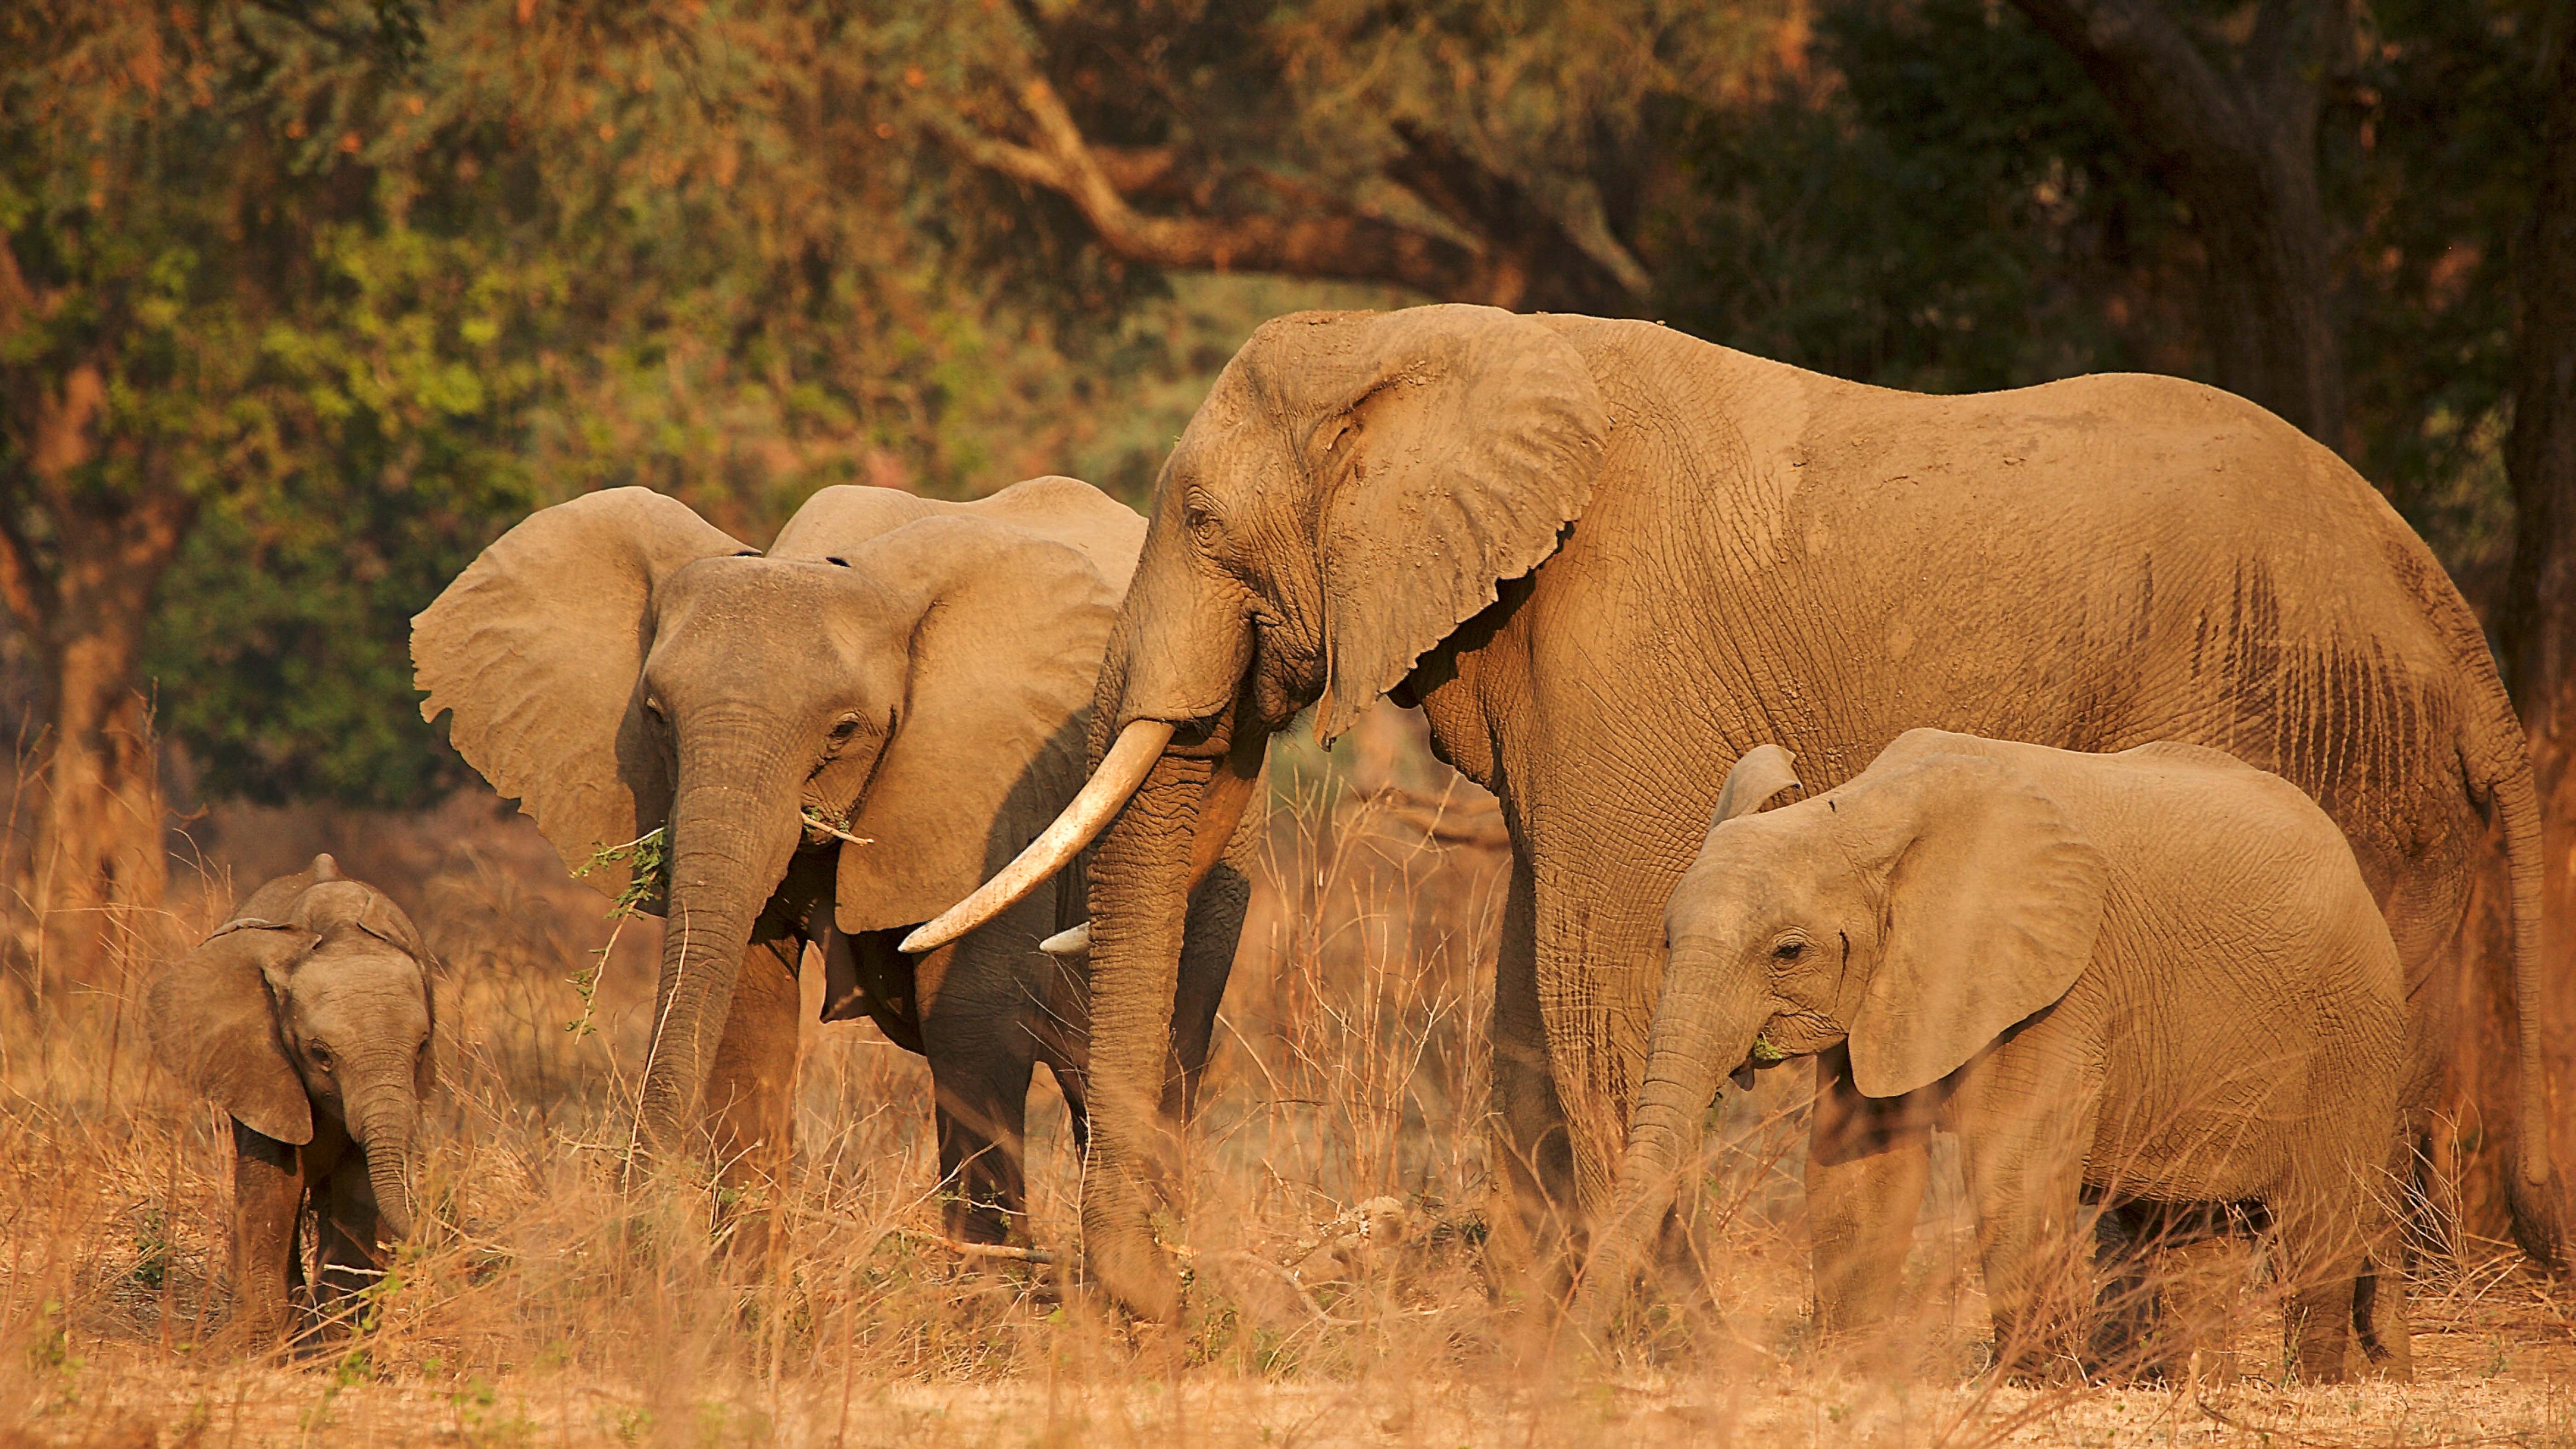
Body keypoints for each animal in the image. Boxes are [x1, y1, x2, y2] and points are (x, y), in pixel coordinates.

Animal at [147, 854, 434, 1345]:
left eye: (421, 1048)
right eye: (321, 1055)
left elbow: (357, 1190)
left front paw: (333, 1347)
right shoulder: (258, 1064)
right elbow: (273, 1187)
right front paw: (261, 1346)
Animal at [412, 476, 1258, 1249]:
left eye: (845, 730)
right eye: (654, 717)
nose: (634, 1229)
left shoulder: (1001, 782)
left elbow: (972, 1019)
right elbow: (746, 1018)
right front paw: (740, 1292)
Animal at [1569, 733, 2413, 1382]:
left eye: (1788, 951)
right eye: (1668, 939)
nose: (1569, 1359)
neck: (1867, 811)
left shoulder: (2059, 983)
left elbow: (2015, 1165)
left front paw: (2023, 1384)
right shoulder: (1893, 985)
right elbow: (1858, 1168)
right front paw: (1849, 1369)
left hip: (2354, 1024)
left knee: (2321, 1225)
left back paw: (2315, 1381)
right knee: (2184, 1236)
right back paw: (2192, 1385)